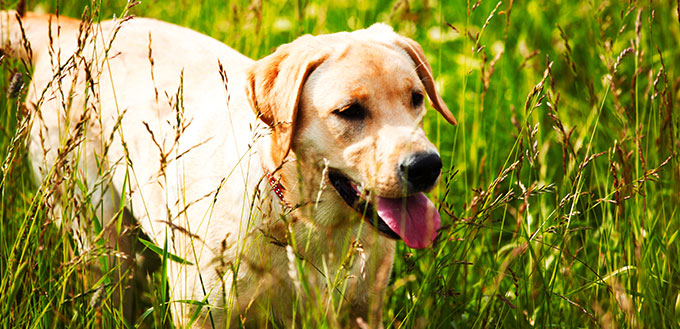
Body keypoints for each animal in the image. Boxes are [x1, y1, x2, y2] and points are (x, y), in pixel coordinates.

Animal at [2, 6, 456, 326]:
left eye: (416, 98)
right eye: (349, 111)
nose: (426, 166)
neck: (309, 226)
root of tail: (76, 30)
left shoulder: (363, 310)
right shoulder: (203, 313)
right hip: (99, 232)